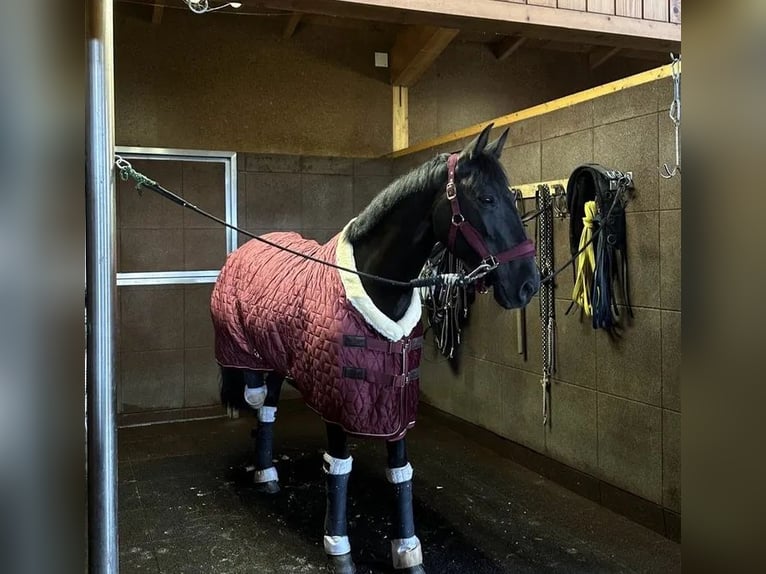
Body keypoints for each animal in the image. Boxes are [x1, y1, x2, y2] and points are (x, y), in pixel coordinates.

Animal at [210, 123, 540, 573]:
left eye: (510, 195)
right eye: (487, 198)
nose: (528, 283)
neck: (376, 285)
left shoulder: (396, 400)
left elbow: (400, 471)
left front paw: (408, 552)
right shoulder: (336, 398)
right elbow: (338, 469)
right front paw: (339, 548)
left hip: (278, 359)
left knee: (267, 408)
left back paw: (268, 475)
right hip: (255, 357)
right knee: (257, 398)